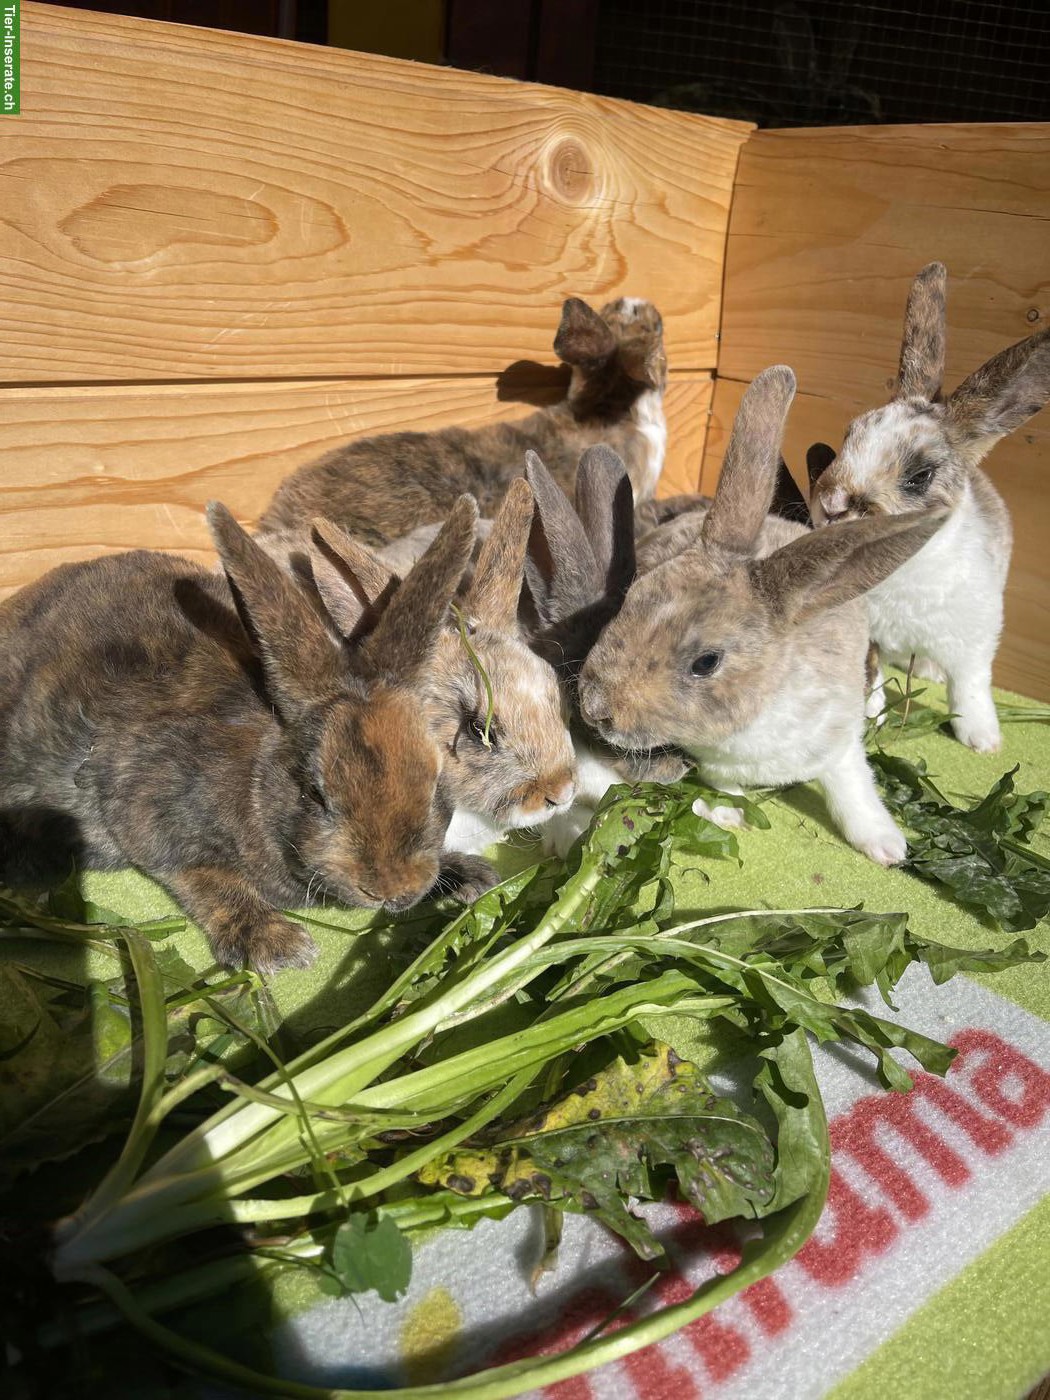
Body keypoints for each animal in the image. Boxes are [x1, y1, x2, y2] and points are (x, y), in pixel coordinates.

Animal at [0, 497, 480, 973]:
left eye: (434, 782)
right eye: (316, 794)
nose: (395, 890)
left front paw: (468, 877)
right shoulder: (145, 813)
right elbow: (202, 876)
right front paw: (277, 946)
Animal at [575, 366, 948, 867]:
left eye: (706, 662)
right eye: (632, 596)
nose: (593, 706)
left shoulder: (839, 744)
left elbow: (853, 790)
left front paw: (887, 846)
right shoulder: (716, 763)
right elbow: (726, 785)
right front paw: (728, 814)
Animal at [808, 262, 1049, 753]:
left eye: (919, 476)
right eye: (848, 435)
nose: (832, 504)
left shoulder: (975, 641)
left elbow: (971, 688)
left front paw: (983, 740)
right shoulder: (866, 636)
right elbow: (870, 676)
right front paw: (871, 717)